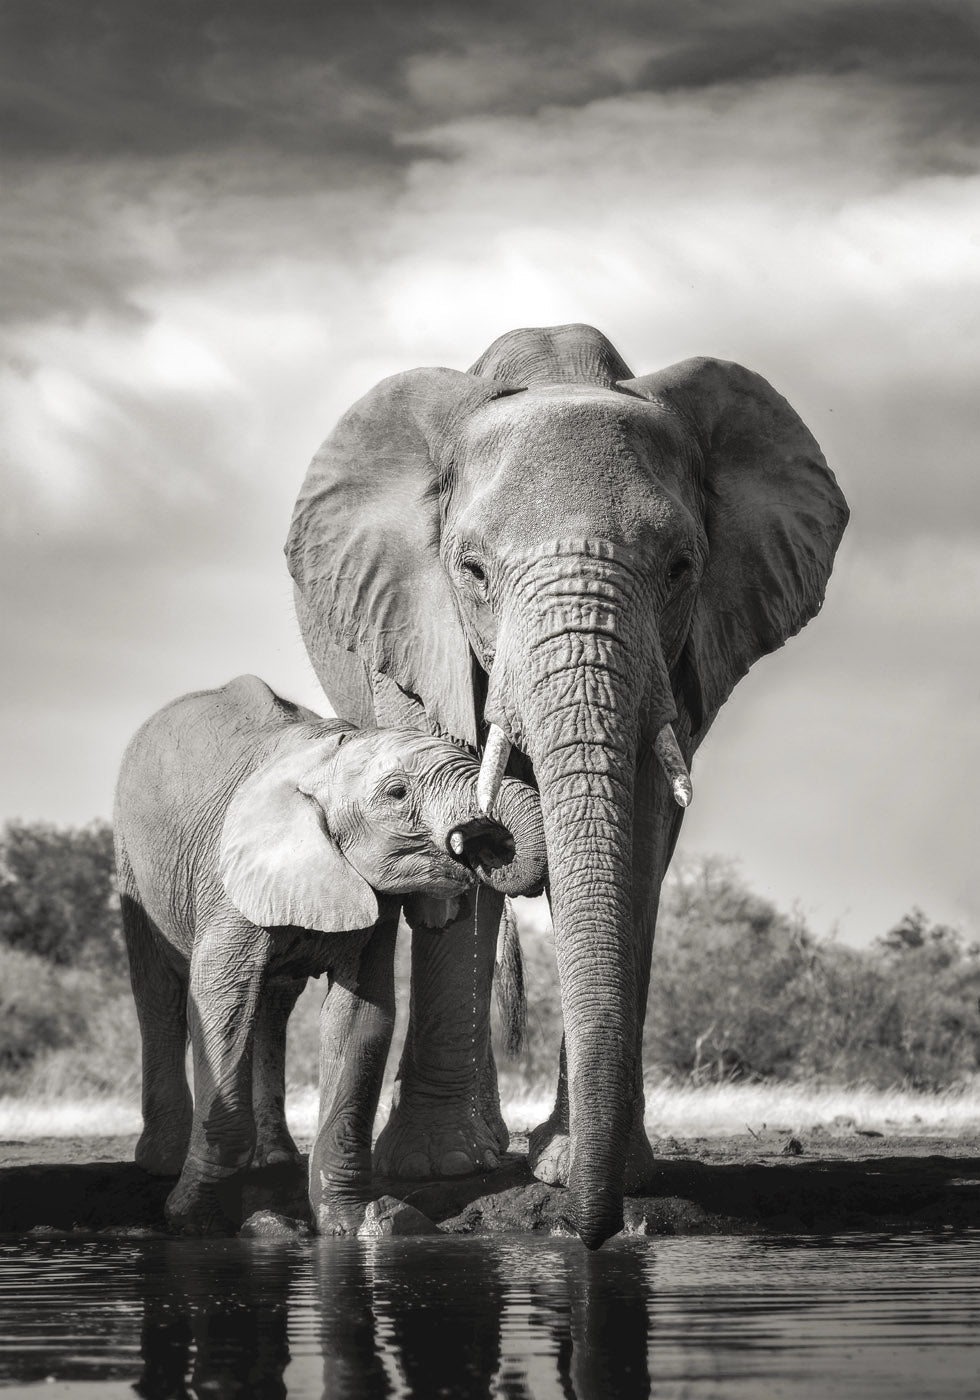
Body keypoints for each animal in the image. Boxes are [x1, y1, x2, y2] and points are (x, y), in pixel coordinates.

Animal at [113, 674, 545, 1234]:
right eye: (397, 793)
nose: (479, 842)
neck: (329, 757)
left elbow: (361, 1016)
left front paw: (354, 1226)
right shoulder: (230, 880)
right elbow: (222, 1005)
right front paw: (194, 1219)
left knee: (273, 1005)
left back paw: (273, 1158)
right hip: (131, 859)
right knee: (159, 996)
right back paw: (163, 1162)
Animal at [285, 323, 849, 1248]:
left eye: (681, 567)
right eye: (473, 571)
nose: (591, 1235)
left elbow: (644, 839)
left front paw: (596, 1167)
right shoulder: (411, 620)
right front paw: (443, 1172)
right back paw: (465, 1157)